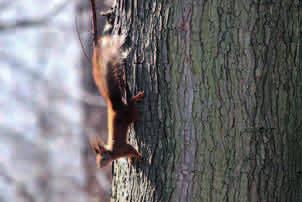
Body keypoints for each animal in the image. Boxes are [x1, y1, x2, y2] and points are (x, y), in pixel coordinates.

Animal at [91, 35, 144, 168]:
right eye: (97, 160)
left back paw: (138, 97)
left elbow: (133, 150)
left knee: (131, 105)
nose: (99, 167)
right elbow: (131, 154)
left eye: (103, 159)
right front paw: (131, 159)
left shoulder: (124, 148)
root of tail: (114, 107)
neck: (112, 152)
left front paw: (139, 156)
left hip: (128, 114)